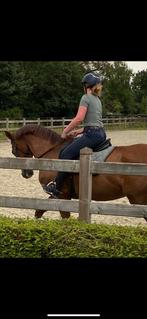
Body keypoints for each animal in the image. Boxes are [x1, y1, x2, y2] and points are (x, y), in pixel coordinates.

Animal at [4, 124, 147, 221]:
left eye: (14, 150)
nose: (26, 174)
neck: (52, 152)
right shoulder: (58, 196)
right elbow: (39, 211)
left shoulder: (62, 195)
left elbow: (64, 216)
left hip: (138, 199)